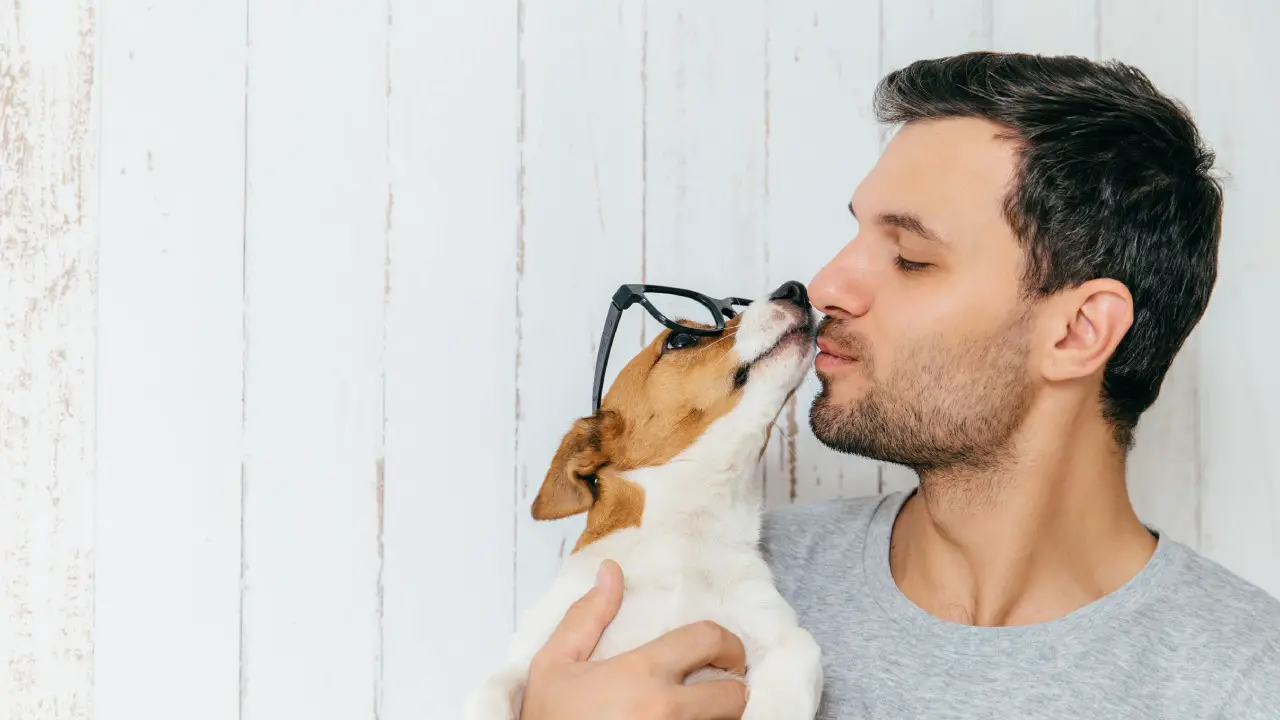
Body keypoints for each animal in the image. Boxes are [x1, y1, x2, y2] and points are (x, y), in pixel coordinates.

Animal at [465, 278, 824, 712]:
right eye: (682, 339)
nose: (796, 289)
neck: (686, 540)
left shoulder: (776, 630)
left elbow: (800, 653)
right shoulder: (532, 650)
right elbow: (491, 687)